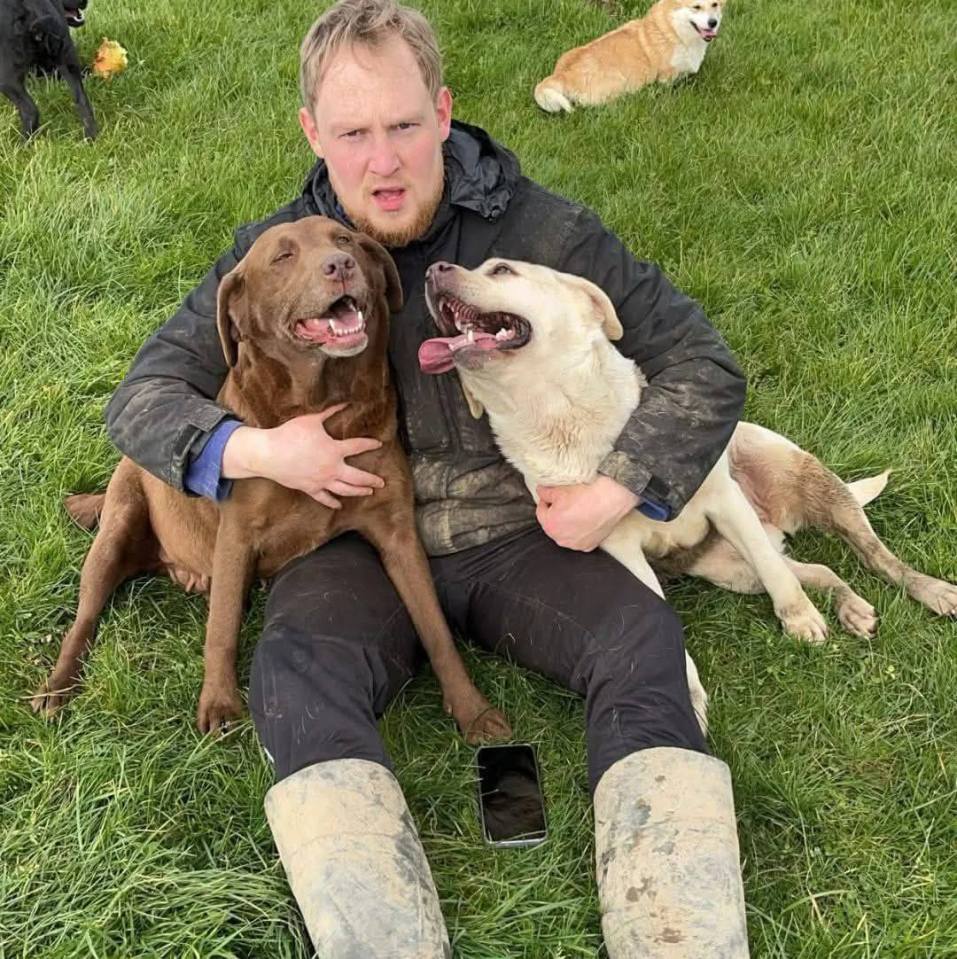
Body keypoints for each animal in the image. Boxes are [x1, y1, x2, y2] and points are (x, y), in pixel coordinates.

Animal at [0, 0, 97, 140]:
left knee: (31, 111)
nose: (85, 1)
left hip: (6, 78)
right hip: (67, 56)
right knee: (82, 101)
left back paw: (23, 142)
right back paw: (91, 136)